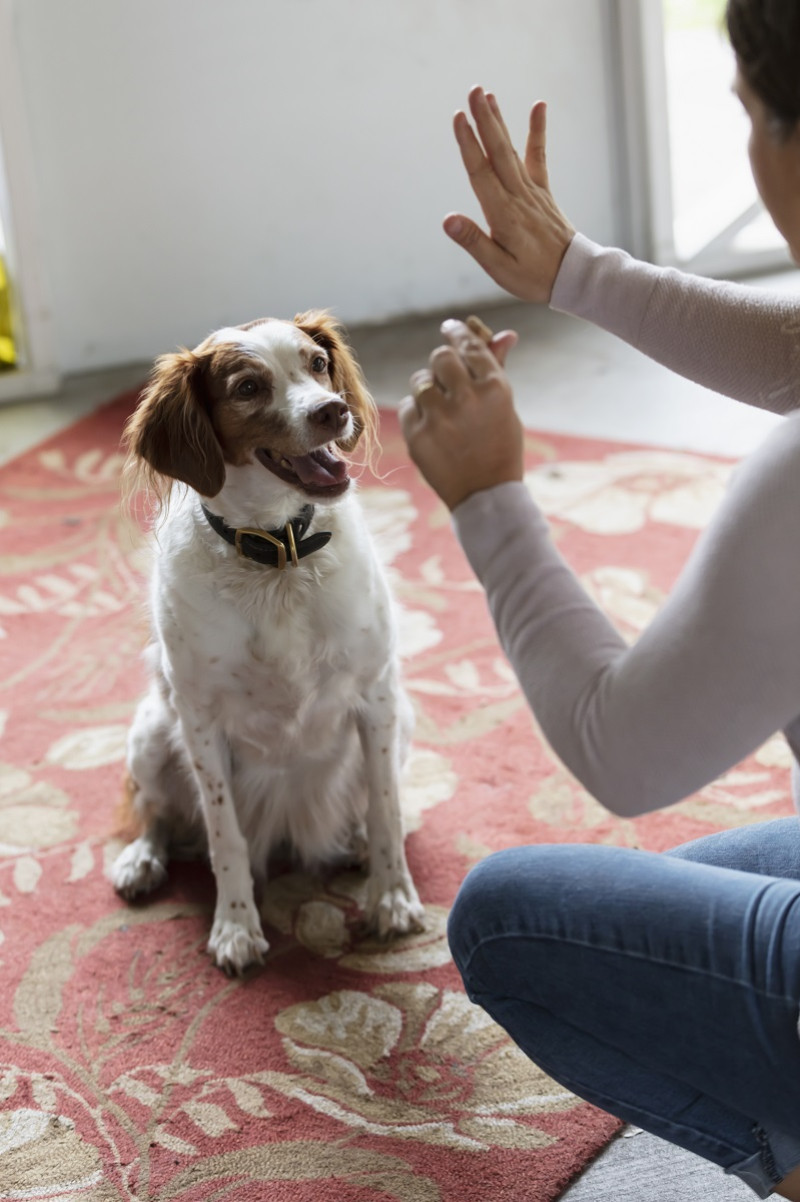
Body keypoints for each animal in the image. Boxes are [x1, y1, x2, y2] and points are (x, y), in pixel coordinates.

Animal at [112, 312, 427, 976]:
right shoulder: (199, 720)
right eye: (248, 388)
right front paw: (235, 925)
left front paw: (391, 897)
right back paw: (142, 860)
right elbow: (223, 832)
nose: (333, 412)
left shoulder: (376, 695)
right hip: (152, 732)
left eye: (318, 364)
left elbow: (386, 806)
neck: (278, 554)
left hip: (404, 718)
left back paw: (355, 843)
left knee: (364, 806)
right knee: (154, 811)